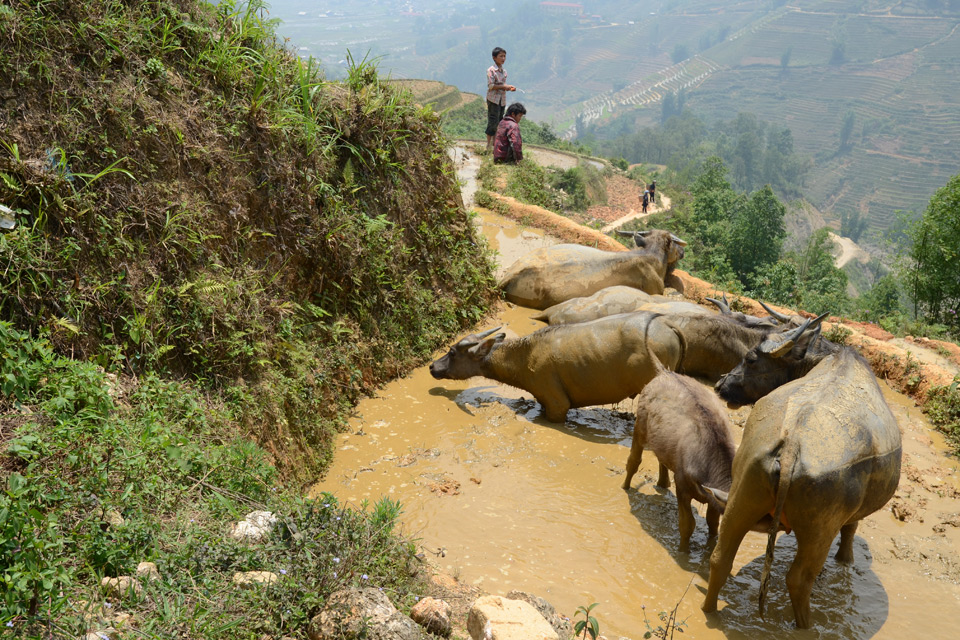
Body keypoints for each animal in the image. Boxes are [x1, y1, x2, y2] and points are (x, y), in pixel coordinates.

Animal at [624, 362, 736, 552]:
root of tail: (666, 372)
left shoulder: (713, 500)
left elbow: (713, 524)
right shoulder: (682, 486)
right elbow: (687, 524)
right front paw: (683, 552)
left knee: (661, 460)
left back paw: (662, 484)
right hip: (639, 429)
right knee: (633, 461)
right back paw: (625, 487)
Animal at [700, 318, 904, 628]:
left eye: (750, 359)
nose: (721, 385)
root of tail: (791, 445)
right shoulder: (851, 516)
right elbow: (851, 530)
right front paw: (845, 560)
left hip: (742, 497)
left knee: (720, 558)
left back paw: (708, 609)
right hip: (819, 530)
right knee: (798, 581)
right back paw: (807, 626)